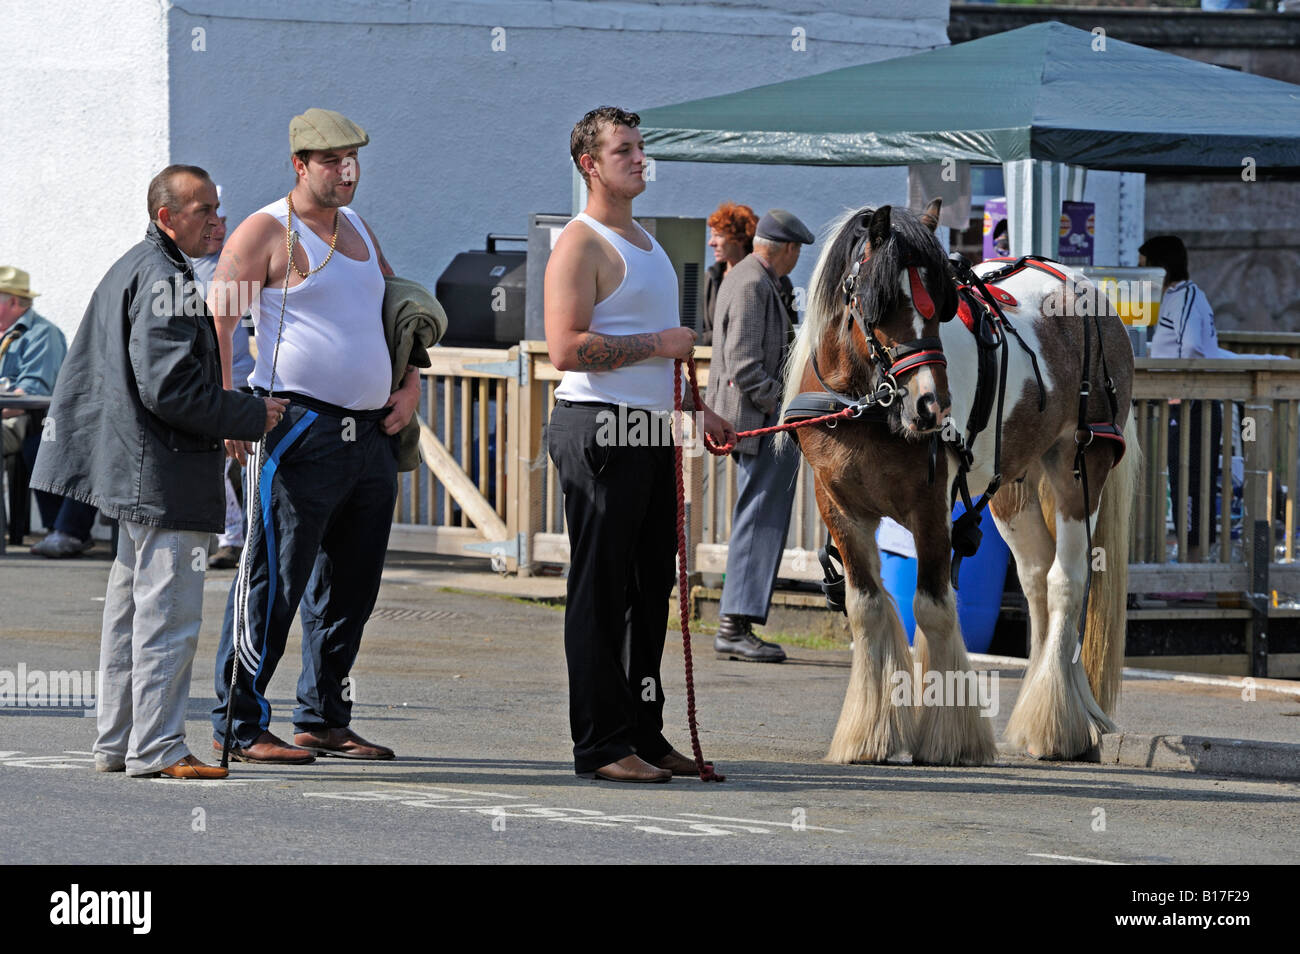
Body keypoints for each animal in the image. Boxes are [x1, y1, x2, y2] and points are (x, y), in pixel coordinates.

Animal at [780, 204, 1138, 769]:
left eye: (940, 304)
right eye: (881, 302)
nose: (931, 405)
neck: (866, 405)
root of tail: (1085, 288)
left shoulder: (929, 505)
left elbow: (931, 605)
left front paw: (951, 738)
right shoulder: (838, 505)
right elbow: (867, 606)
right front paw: (870, 736)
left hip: (1080, 467)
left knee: (1067, 580)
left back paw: (1059, 726)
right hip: (1011, 488)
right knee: (1037, 579)